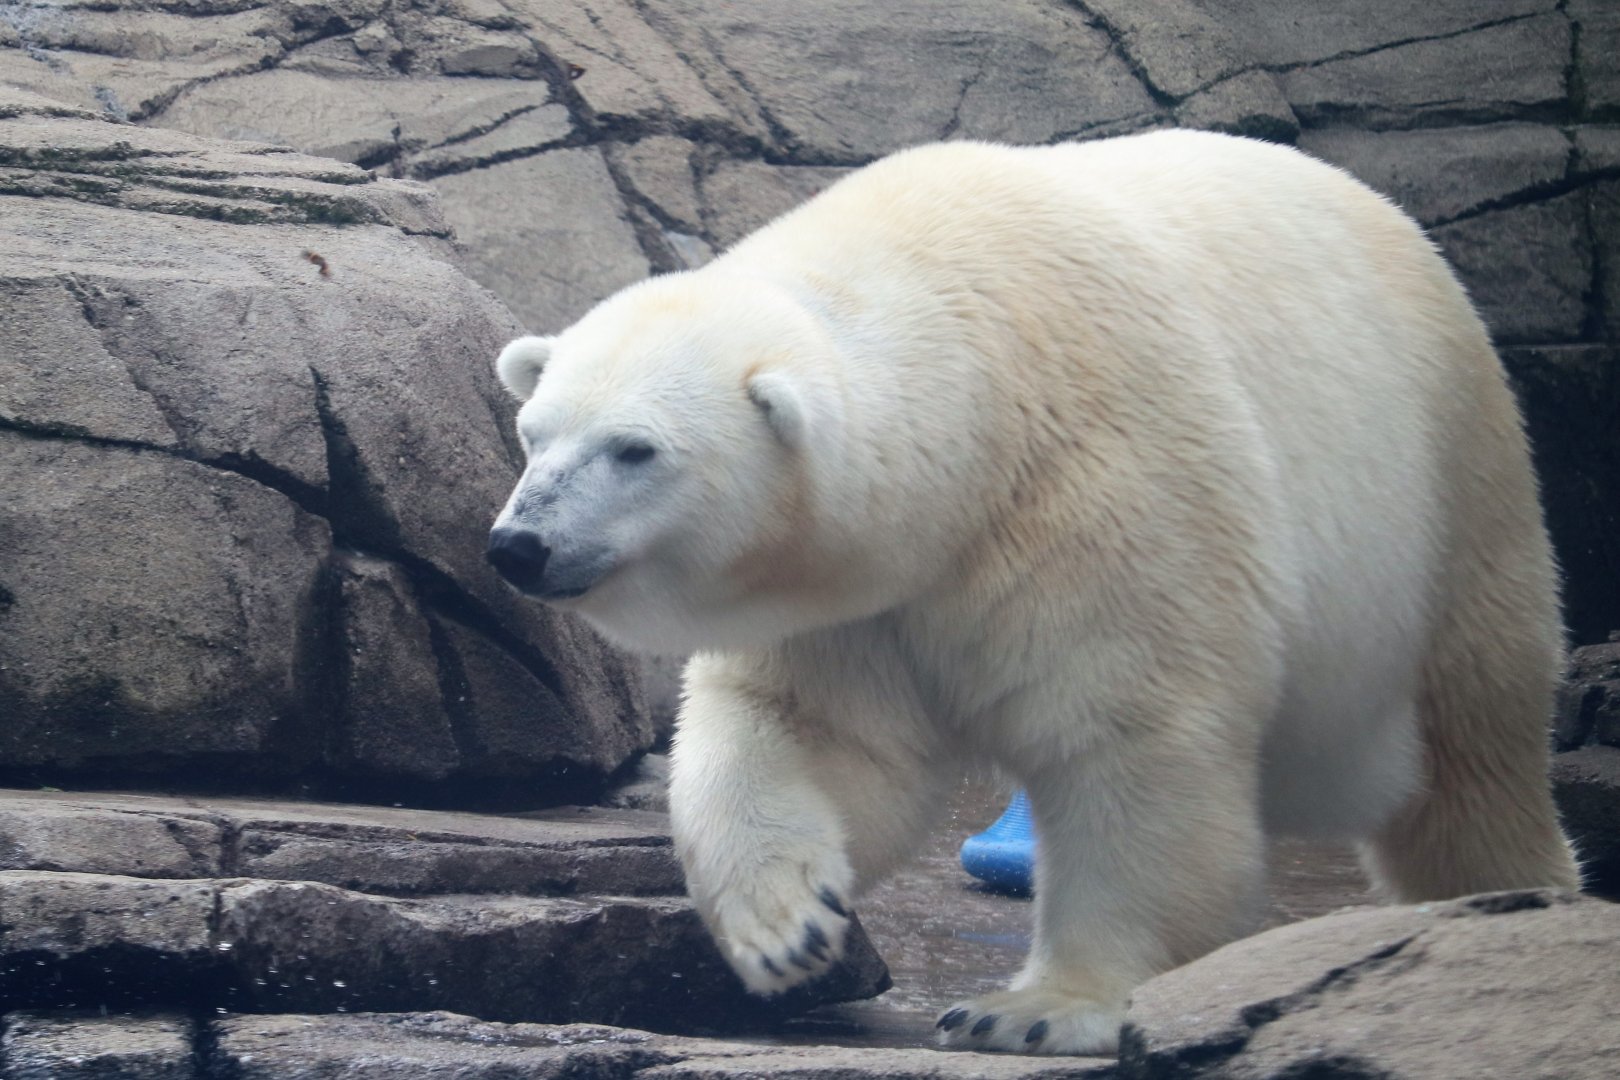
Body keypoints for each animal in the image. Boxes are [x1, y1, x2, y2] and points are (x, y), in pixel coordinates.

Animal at [484, 130, 1581, 1056]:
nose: (519, 546)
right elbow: (812, 733)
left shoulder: (1102, 486)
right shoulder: (849, 596)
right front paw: (789, 928)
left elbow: (1130, 740)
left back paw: (1509, 908)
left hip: (1448, 497)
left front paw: (1037, 1011)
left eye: (636, 449)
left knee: (1470, 758)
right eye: (535, 431)